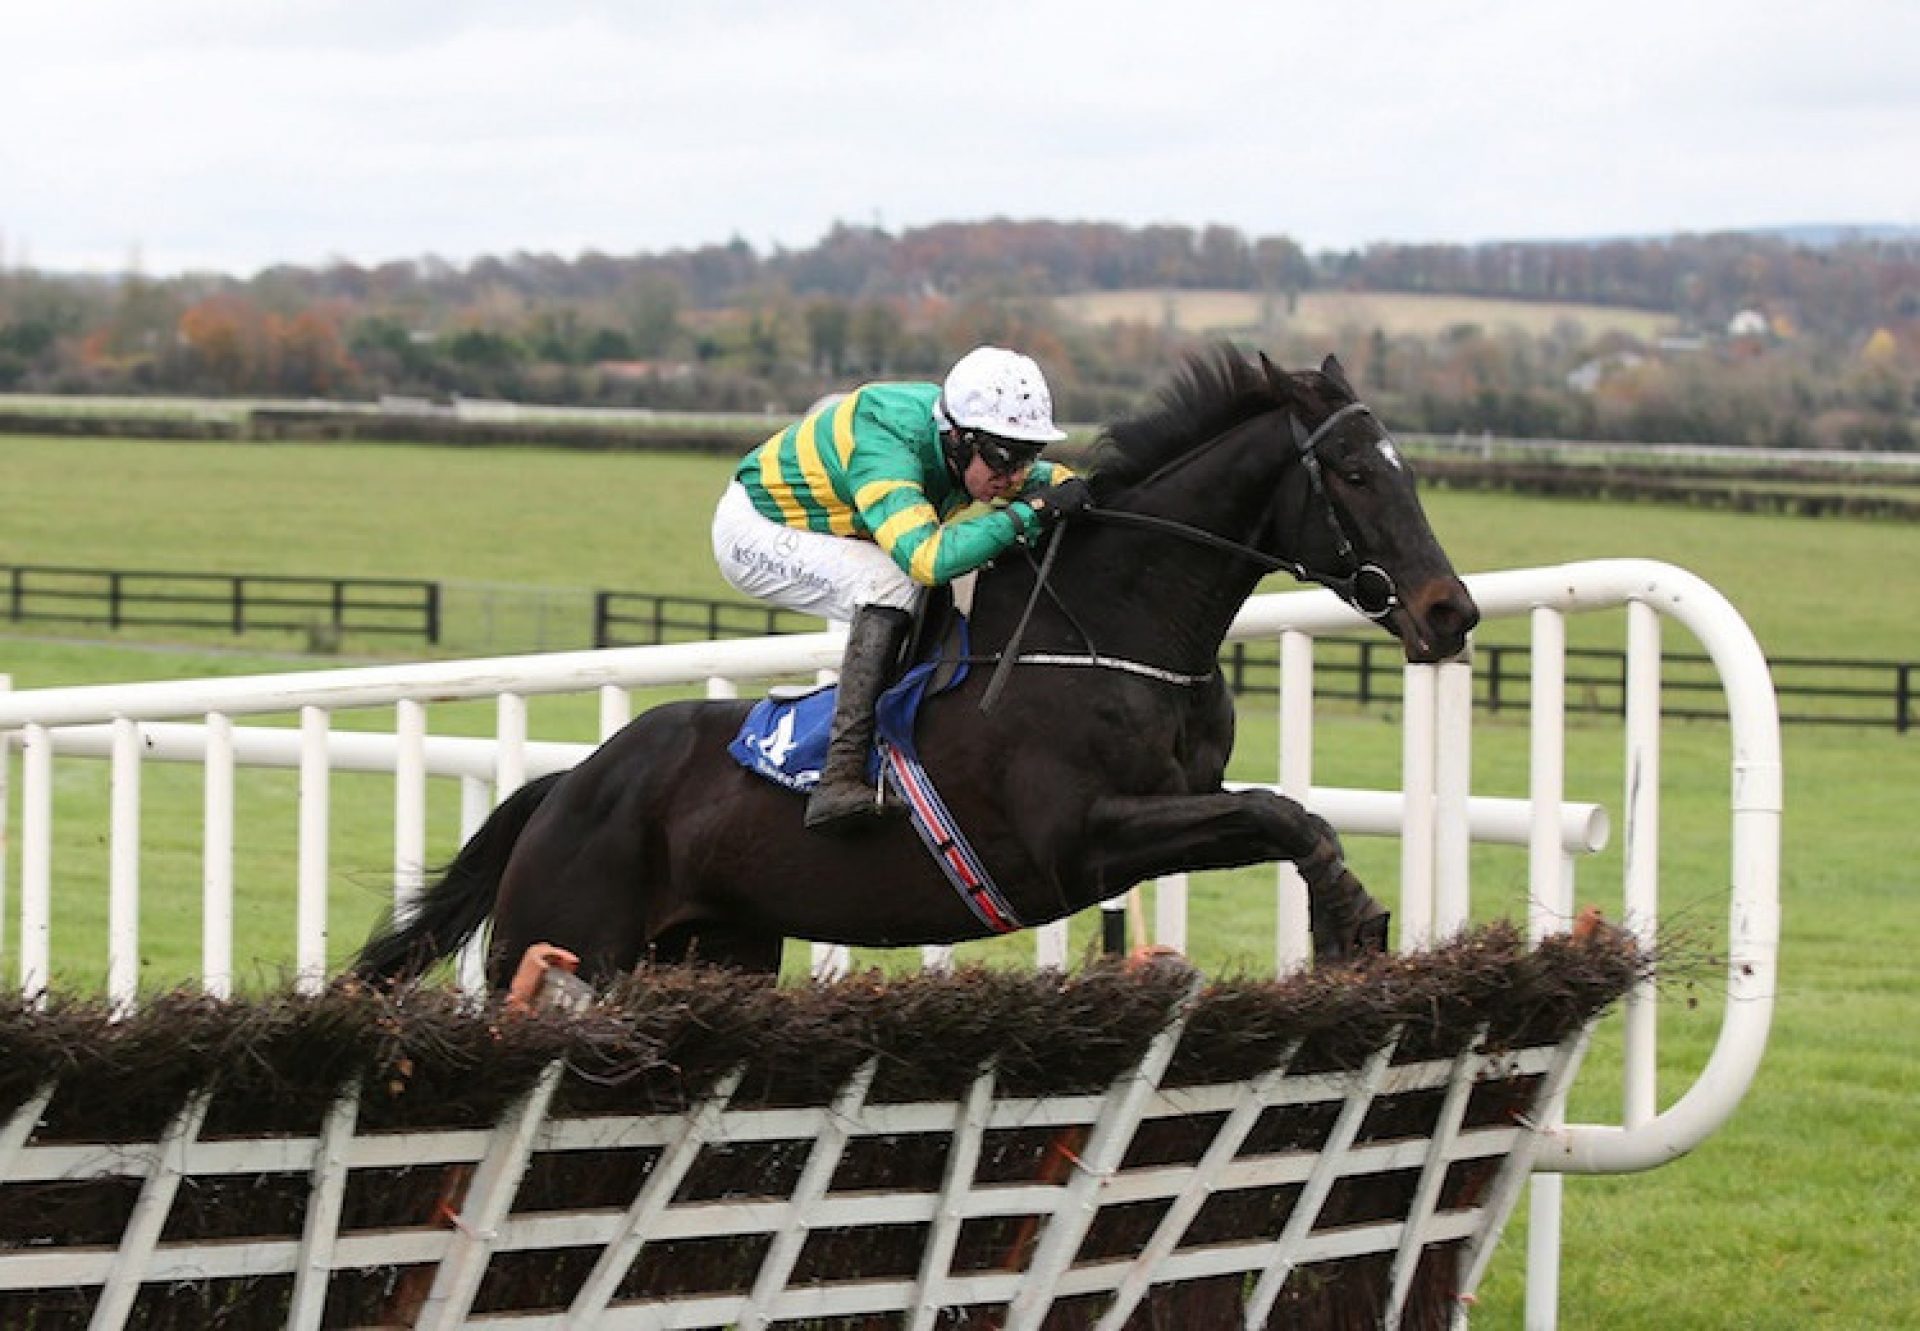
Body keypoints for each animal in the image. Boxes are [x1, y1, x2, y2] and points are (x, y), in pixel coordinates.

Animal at [357, 341, 1466, 983]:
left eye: (1407, 469)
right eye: (1354, 473)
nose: (1449, 611)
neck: (1110, 629)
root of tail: (569, 783)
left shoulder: (1175, 806)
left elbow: (1277, 811)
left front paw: (1352, 912)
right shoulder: (1078, 838)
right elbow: (1280, 812)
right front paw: (1351, 916)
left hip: (719, 950)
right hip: (560, 942)